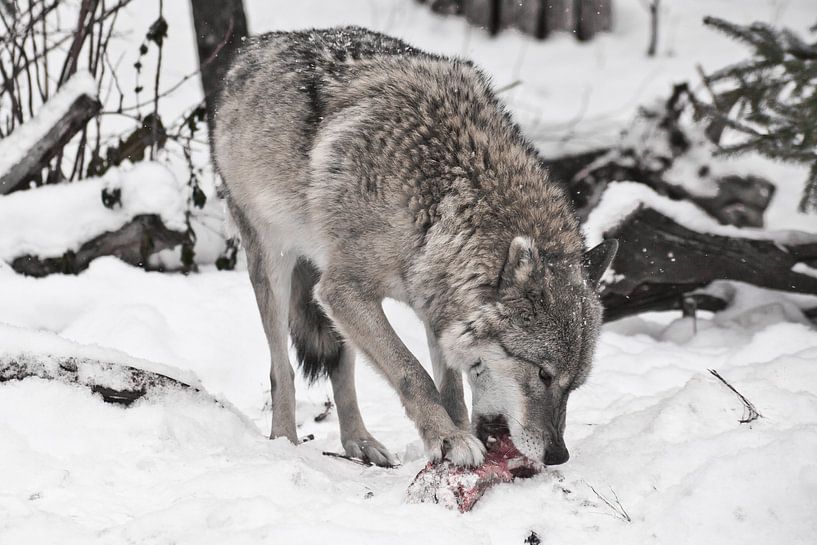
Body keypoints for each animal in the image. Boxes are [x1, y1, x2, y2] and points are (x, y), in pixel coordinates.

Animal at [214, 26, 616, 468]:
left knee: (342, 368)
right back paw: (284, 443)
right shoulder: (345, 291)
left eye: (573, 386)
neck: (442, 198)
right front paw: (448, 439)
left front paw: (455, 433)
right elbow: (413, 373)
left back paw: (361, 442)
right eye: (543, 374)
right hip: (276, 266)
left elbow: (451, 388)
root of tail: (253, 46)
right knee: (280, 369)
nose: (559, 455)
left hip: (329, 301)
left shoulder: (433, 303)